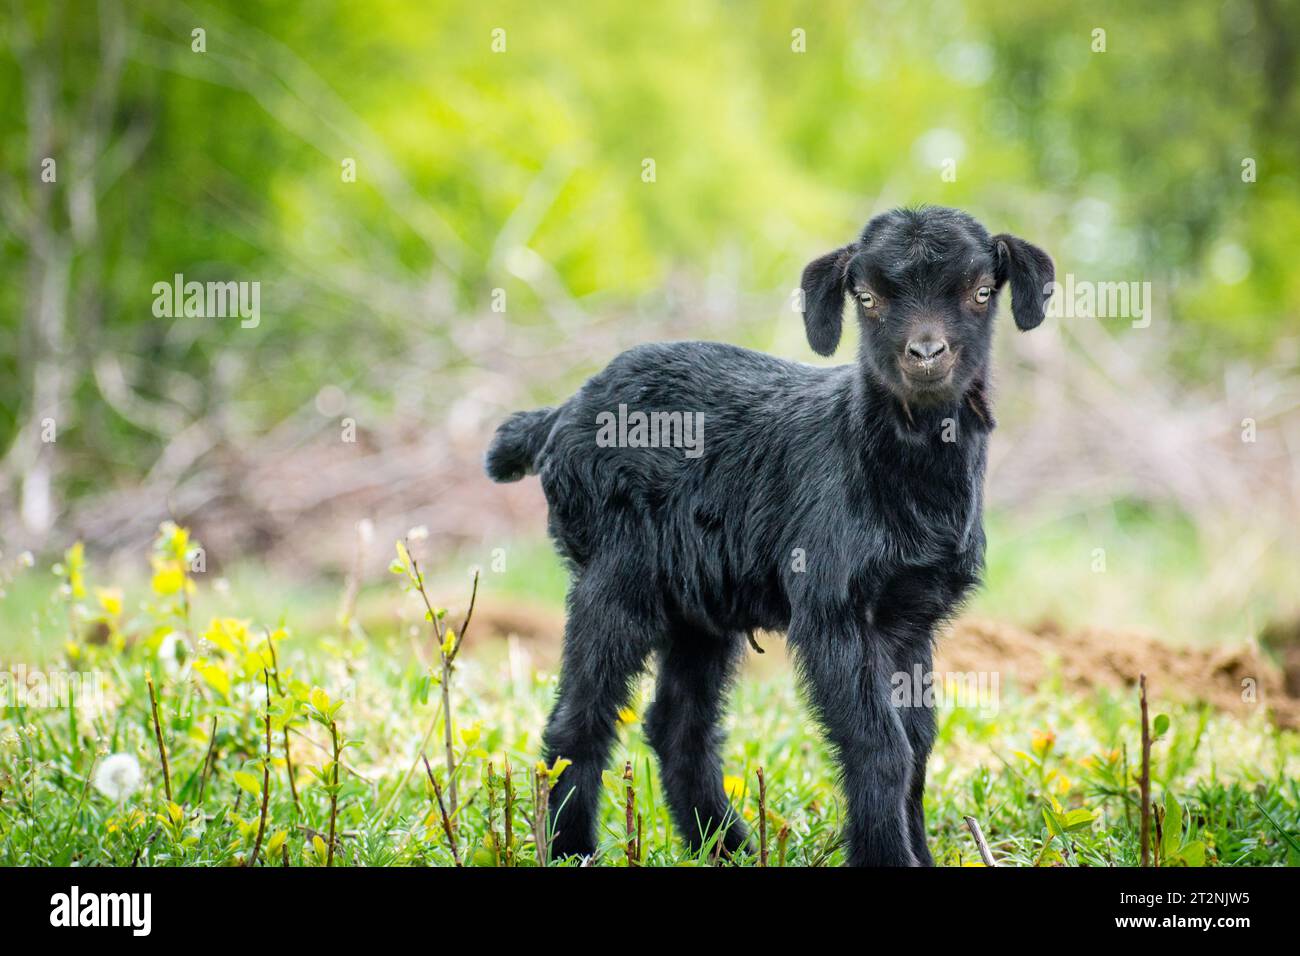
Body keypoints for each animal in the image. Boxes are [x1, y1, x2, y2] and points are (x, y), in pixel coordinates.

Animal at [485, 206, 1054, 865]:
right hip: (615, 573)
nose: (925, 353)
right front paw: (887, 856)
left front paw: (918, 854)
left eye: (981, 291)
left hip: (699, 603)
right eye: (867, 298)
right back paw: (573, 847)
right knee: (581, 716)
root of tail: (561, 413)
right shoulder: (831, 611)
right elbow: (881, 746)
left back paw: (725, 844)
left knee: (677, 724)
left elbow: (918, 746)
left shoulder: (911, 618)